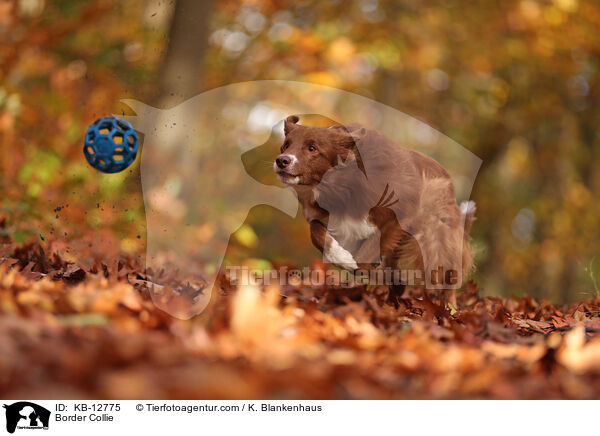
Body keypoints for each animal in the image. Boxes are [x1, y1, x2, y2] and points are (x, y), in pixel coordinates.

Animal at [274, 116, 476, 306]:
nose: (282, 160)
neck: (343, 185)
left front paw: (353, 264)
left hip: (435, 240)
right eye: (286, 145)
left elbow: (363, 257)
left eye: (312, 148)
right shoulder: (324, 218)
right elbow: (316, 233)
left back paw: (449, 308)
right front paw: (343, 257)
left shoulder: (403, 214)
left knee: (446, 275)